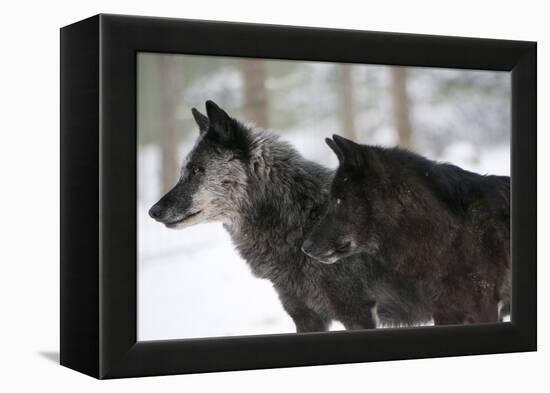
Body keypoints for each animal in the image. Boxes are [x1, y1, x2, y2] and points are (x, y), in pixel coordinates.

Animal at [149, 99, 434, 330]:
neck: (303, 220)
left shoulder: (357, 313)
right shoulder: (304, 316)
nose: (152, 211)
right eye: (184, 170)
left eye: (197, 170)